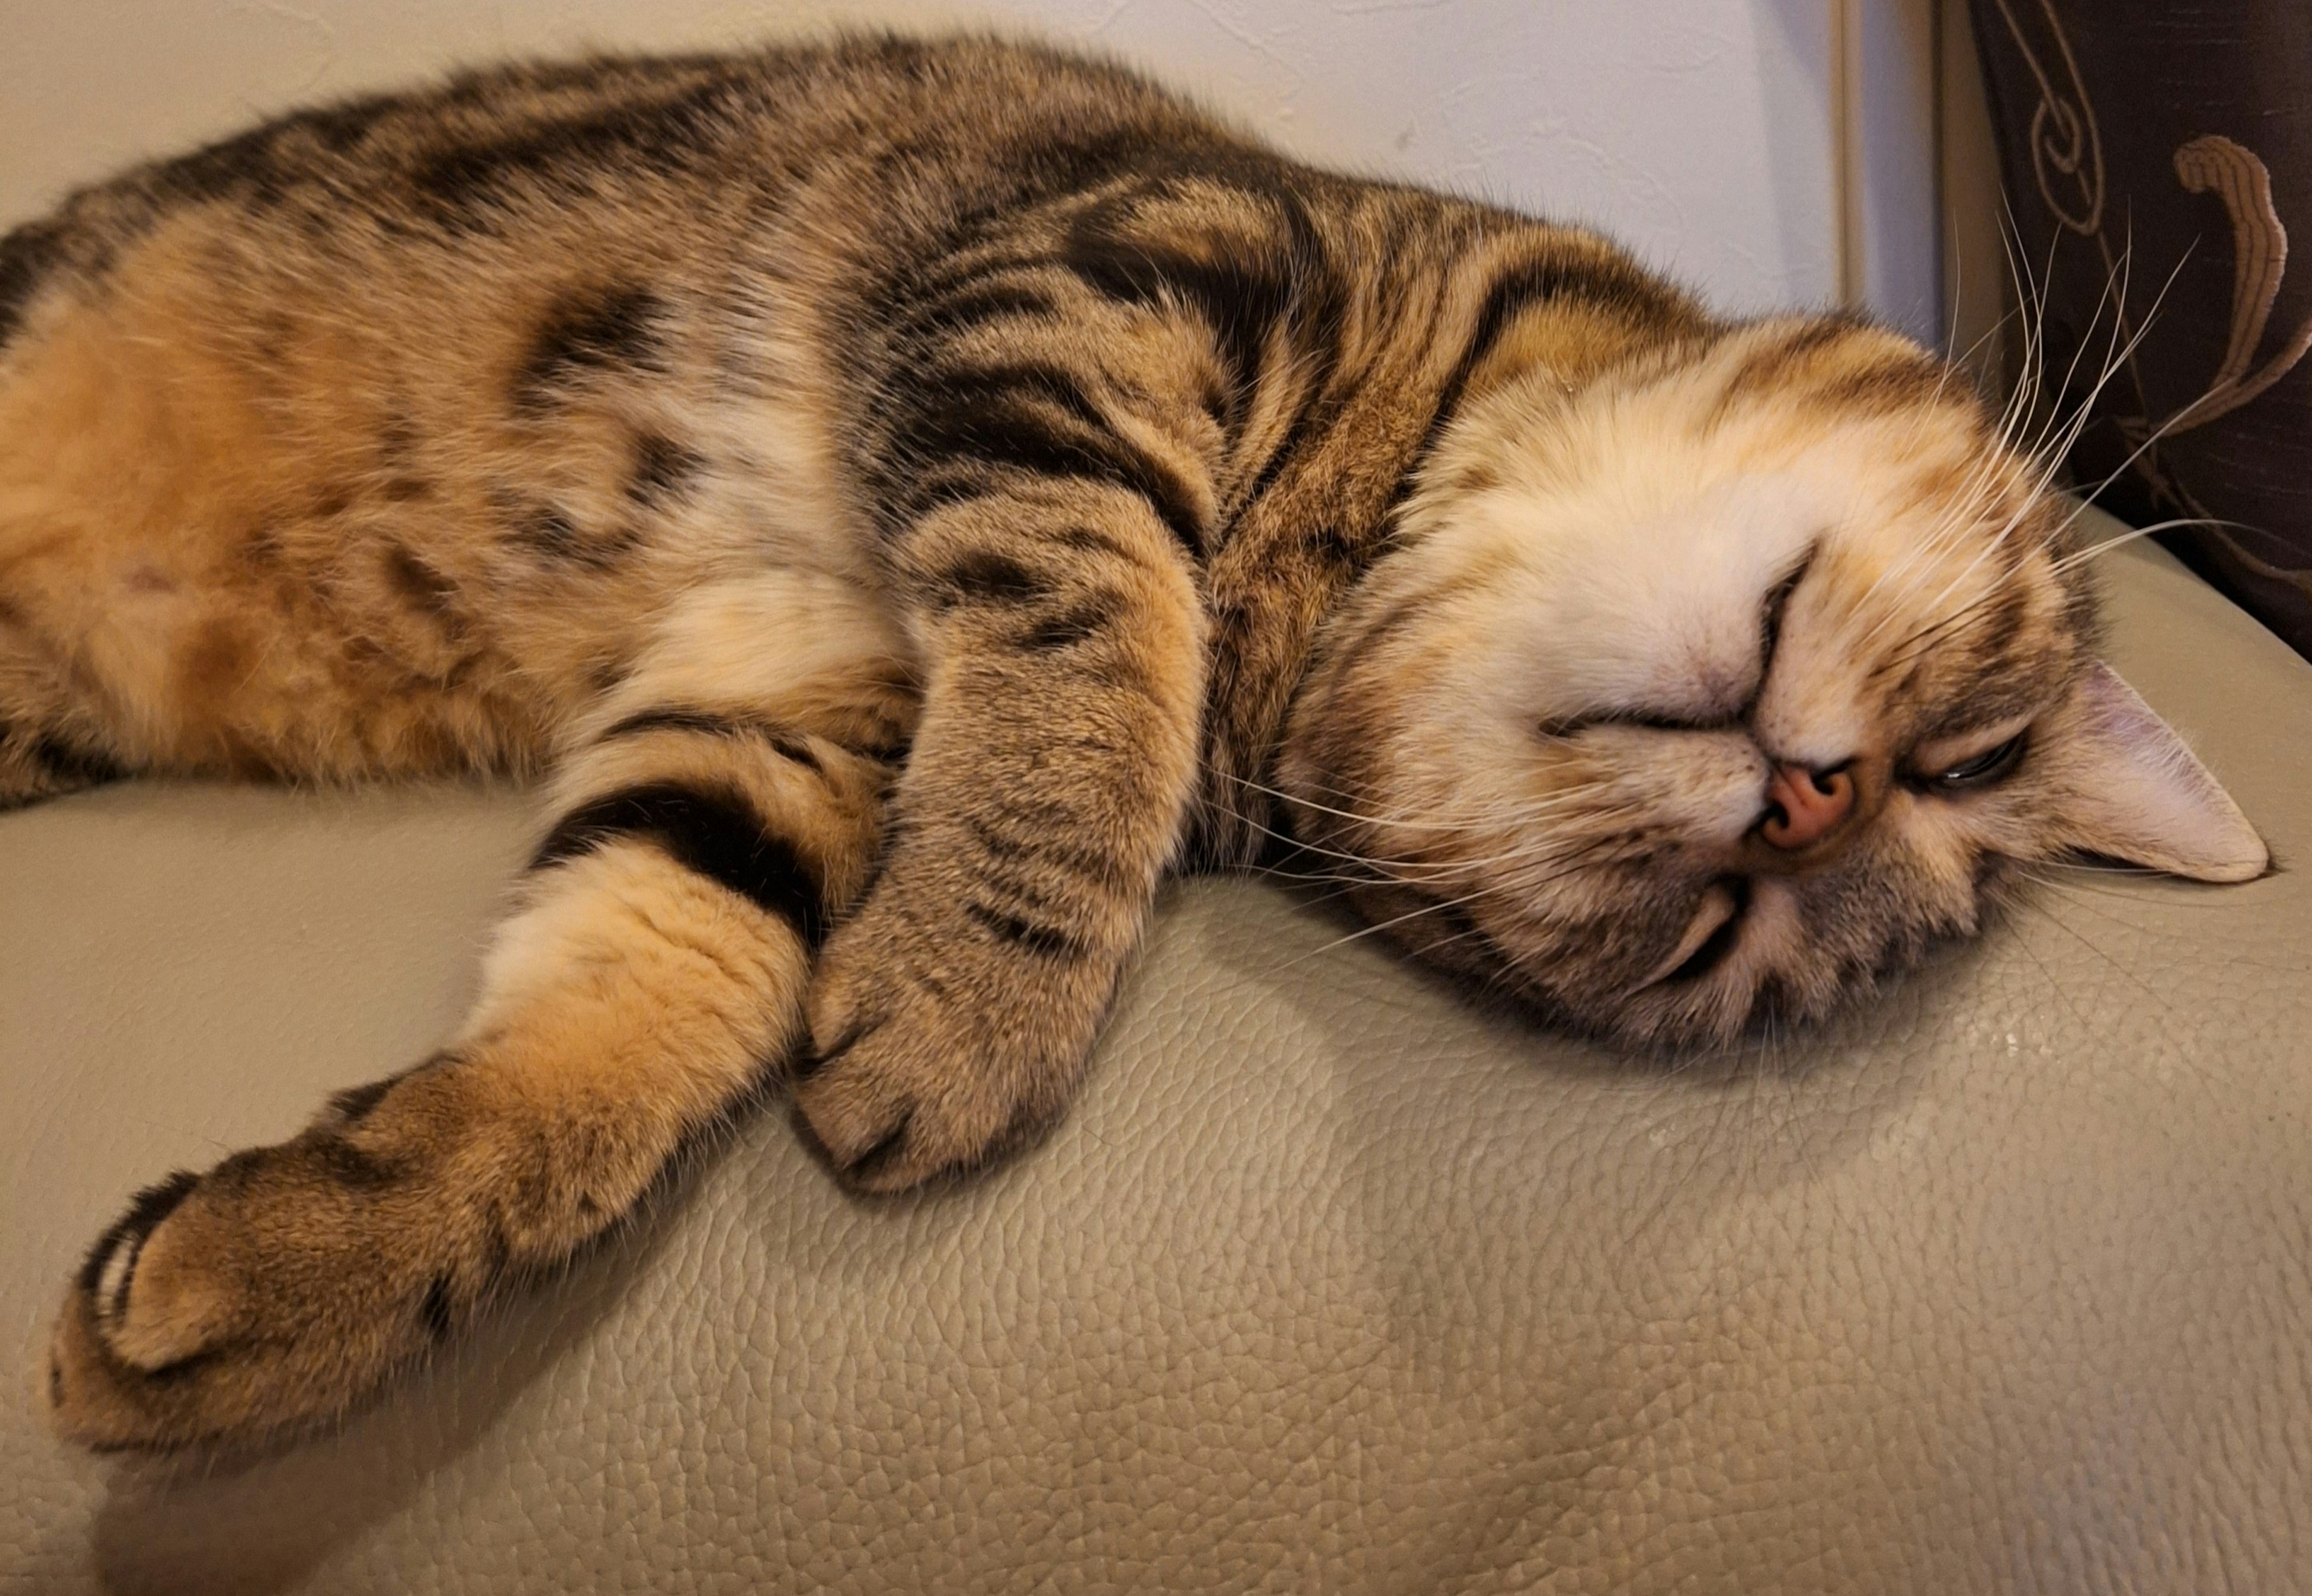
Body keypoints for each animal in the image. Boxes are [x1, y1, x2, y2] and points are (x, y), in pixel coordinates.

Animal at [4, 31, 2256, 1452]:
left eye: (1732, 937)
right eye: (1970, 750)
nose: (1811, 798)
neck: (1323, 583)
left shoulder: (781, 685)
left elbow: (648, 971)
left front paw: (298, 1266)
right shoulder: (1078, 284)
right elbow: (1098, 657)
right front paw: (980, 994)